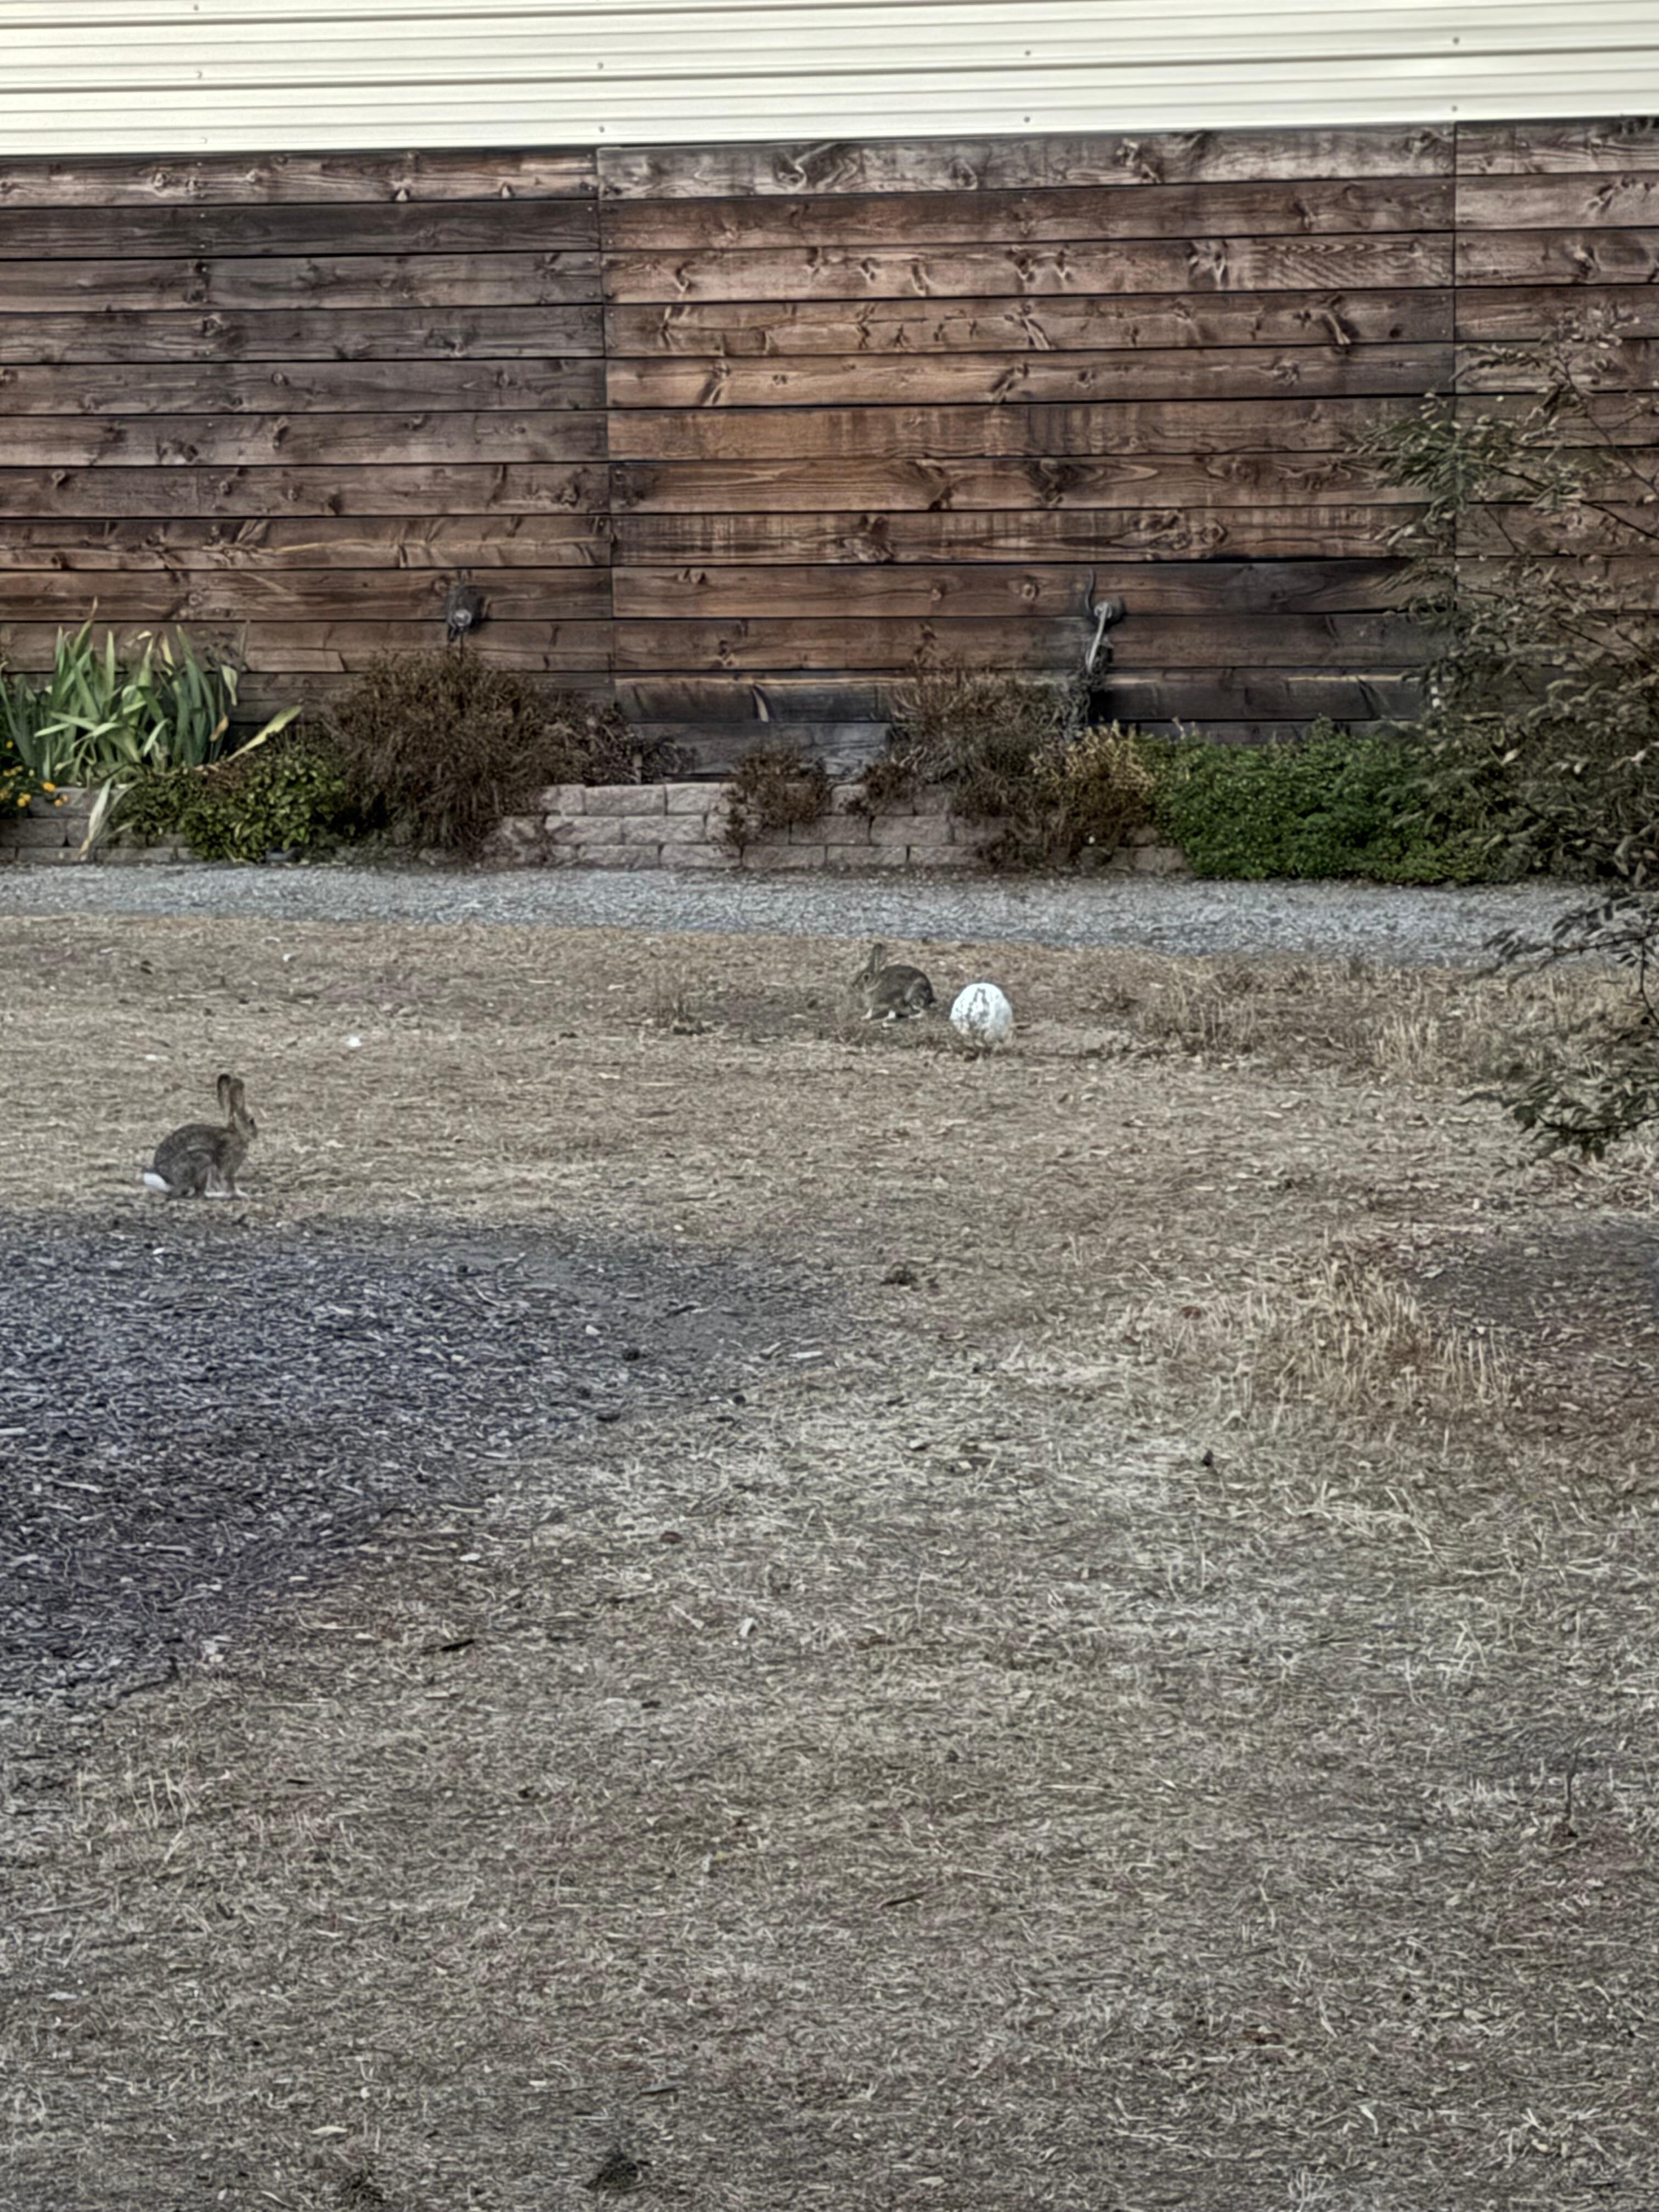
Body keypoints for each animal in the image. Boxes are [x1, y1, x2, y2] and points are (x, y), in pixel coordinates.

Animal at [143, 1074, 258, 1198]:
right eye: (252, 1121)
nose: (256, 1134)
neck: (237, 1133)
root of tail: (170, 1183)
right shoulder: (228, 1167)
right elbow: (229, 1183)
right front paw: (242, 1195)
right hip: (202, 1160)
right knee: (200, 1194)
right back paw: (218, 1195)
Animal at [853, 941, 937, 1022]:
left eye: (866, 977)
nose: (854, 985)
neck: (877, 984)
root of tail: (930, 993)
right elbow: (870, 1011)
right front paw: (865, 1017)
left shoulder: (893, 1000)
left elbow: (891, 1013)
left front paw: (885, 1019)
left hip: (915, 996)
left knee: (923, 1011)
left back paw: (911, 1017)